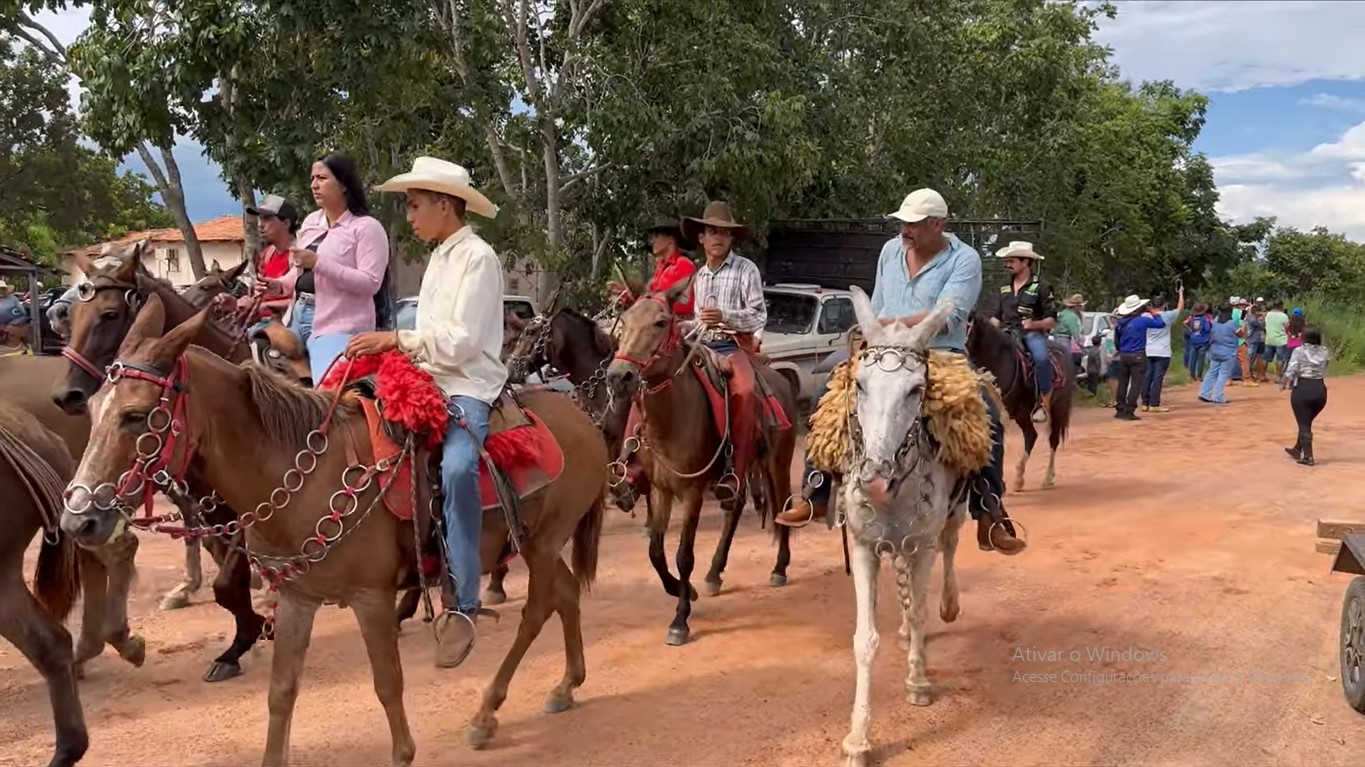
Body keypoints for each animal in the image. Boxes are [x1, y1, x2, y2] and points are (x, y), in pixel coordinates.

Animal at [64, 293, 608, 758]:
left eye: (136, 415)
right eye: (91, 410)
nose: (78, 518)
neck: (302, 473)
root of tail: (584, 420)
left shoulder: (371, 598)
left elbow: (388, 686)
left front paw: (404, 751)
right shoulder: (297, 598)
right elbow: (281, 692)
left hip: (543, 541)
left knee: (538, 609)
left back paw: (487, 711)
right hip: (539, 543)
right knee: (564, 594)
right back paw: (566, 684)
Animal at [608, 277, 797, 641]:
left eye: (660, 322)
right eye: (623, 321)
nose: (618, 376)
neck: (673, 416)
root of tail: (780, 381)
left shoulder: (692, 491)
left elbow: (683, 555)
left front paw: (680, 619)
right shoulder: (660, 489)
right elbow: (655, 551)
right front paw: (683, 590)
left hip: (778, 463)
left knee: (782, 508)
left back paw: (780, 567)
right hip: (741, 468)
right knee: (733, 509)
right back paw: (713, 573)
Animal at [835, 287, 966, 764]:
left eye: (916, 389)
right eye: (860, 384)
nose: (873, 478)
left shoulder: (922, 543)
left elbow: (923, 609)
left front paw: (919, 681)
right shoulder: (863, 546)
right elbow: (864, 641)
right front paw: (857, 738)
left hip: (952, 518)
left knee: (950, 550)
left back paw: (946, 606)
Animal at [966, 312, 1070, 485]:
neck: (997, 359)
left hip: (1057, 409)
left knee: (1052, 439)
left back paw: (1047, 477)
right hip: (1023, 414)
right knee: (1031, 436)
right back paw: (1019, 477)